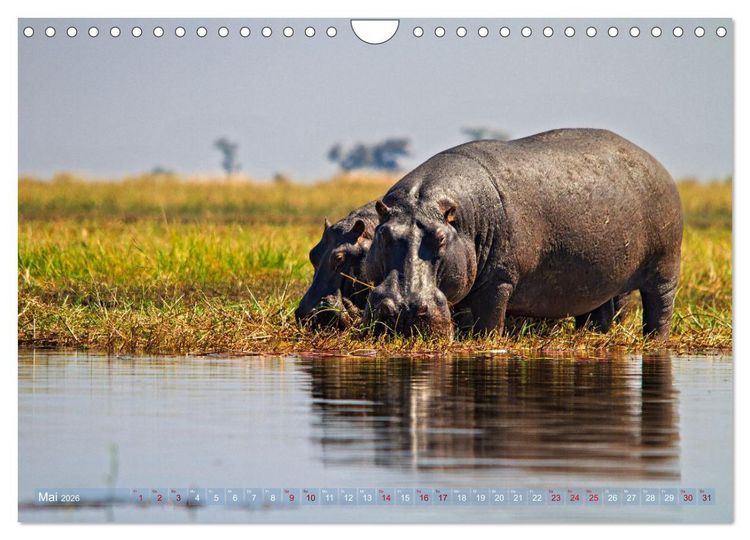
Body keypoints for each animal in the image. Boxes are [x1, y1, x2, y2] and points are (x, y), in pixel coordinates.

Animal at [363, 128, 683, 339]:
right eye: (384, 235)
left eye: (440, 238)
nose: (403, 308)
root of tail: (655, 162)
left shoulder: (499, 282)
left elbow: (487, 324)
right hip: (605, 278)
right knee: (602, 311)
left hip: (665, 266)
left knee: (660, 306)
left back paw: (655, 340)